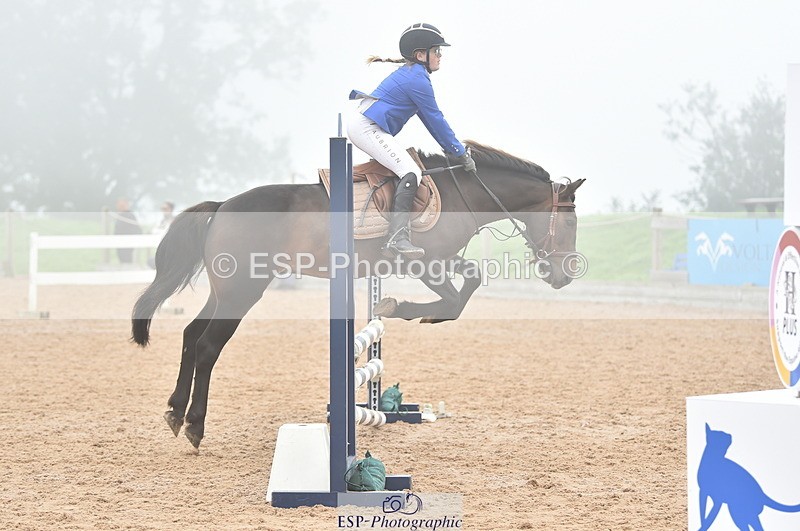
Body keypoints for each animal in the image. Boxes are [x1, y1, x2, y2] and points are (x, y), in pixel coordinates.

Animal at [131, 141, 585, 449]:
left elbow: (468, 283)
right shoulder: (422, 262)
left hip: (225, 291)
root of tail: (223, 205)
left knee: (190, 334)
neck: (462, 195)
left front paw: (410, 310)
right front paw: (398, 306)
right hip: (243, 291)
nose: (564, 276)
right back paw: (195, 424)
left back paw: (175, 411)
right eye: (569, 224)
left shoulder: (442, 260)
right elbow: (455, 300)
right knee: (208, 345)